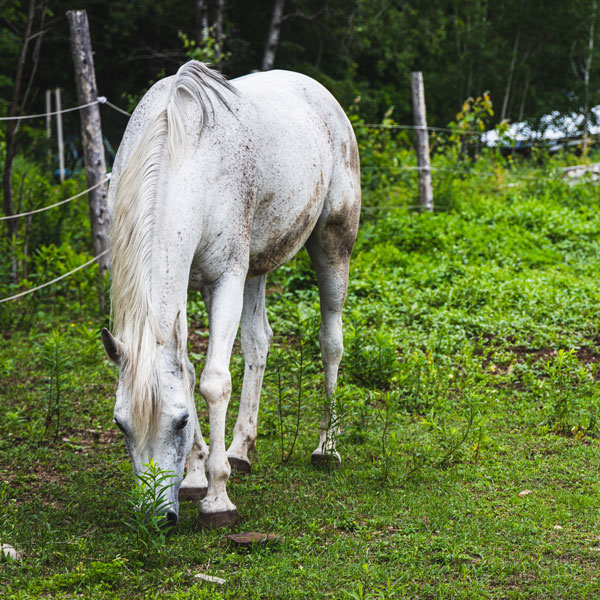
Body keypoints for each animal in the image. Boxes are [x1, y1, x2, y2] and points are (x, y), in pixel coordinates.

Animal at [102, 61, 360, 528]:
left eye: (180, 422)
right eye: (120, 426)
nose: (156, 519)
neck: (183, 156)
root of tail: (317, 90)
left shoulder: (224, 279)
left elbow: (213, 382)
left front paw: (217, 498)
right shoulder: (188, 287)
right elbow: (188, 372)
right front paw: (194, 477)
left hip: (332, 246)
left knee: (331, 341)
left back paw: (325, 448)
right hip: (255, 268)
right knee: (259, 342)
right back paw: (241, 450)